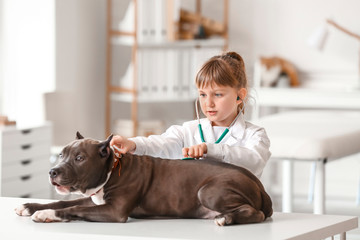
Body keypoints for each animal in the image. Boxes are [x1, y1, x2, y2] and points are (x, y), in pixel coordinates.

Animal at [14, 132, 272, 224]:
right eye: (61, 154)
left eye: (79, 158)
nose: (53, 171)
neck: (112, 169)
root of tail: (258, 184)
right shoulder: (94, 197)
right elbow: (64, 201)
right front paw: (30, 206)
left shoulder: (114, 211)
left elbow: (72, 209)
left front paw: (47, 214)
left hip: (208, 191)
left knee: (255, 213)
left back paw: (227, 219)